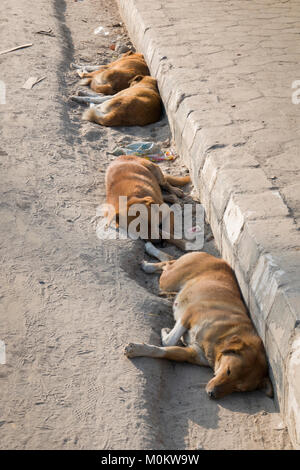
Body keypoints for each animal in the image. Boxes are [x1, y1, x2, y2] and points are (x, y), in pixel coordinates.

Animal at [123, 242, 274, 400]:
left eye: (238, 389)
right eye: (228, 371)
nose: (211, 394)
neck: (222, 338)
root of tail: (217, 259)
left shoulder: (191, 354)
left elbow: (164, 350)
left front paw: (140, 349)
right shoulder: (191, 313)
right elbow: (169, 341)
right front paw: (164, 334)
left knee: (169, 259)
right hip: (168, 280)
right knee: (168, 262)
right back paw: (148, 260)